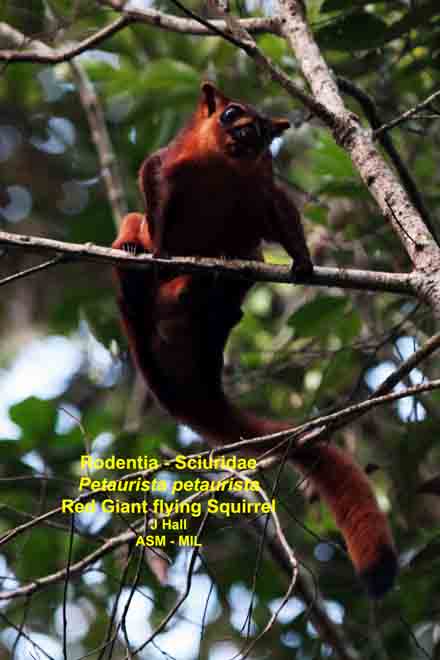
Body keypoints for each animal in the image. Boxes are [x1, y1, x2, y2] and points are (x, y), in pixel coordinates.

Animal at [112, 82, 397, 598]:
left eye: (263, 130)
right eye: (231, 114)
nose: (247, 132)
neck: (221, 164)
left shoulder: (260, 182)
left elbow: (277, 209)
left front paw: (302, 262)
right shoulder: (171, 163)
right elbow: (152, 183)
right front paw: (158, 250)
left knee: (244, 259)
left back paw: (214, 292)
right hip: (136, 307)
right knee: (131, 224)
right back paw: (138, 261)